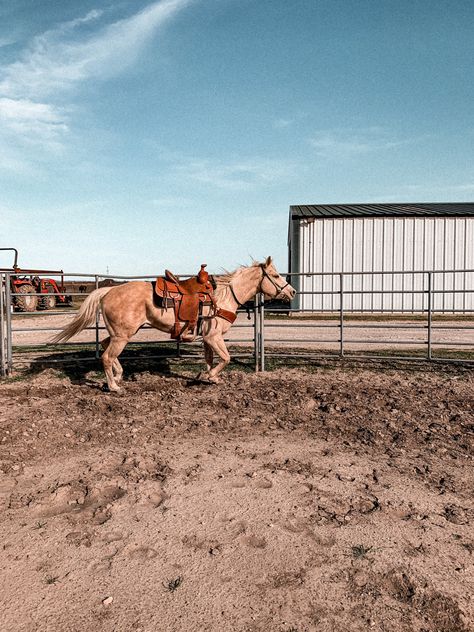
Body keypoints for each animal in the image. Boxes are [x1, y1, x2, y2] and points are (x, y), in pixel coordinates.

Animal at [52, 256, 296, 390]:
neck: (225, 296)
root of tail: (108, 291)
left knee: (104, 346)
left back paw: (119, 375)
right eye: (275, 275)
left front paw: (208, 377)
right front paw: (212, 376)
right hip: (122, 335)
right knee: (107, 356)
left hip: (120, 333)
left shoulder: (207, 338)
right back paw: (113, 386)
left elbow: (210, 359)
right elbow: (226, 358)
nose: (292, 292)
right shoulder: (214, 336)